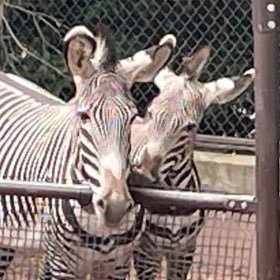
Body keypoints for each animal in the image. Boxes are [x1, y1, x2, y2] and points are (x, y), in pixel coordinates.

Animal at [0, 24, 175, 280]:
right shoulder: (62, 264)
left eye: (133, 117)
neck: (97, 225)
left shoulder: (117, 266)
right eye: (84, 116)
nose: (115, 207)